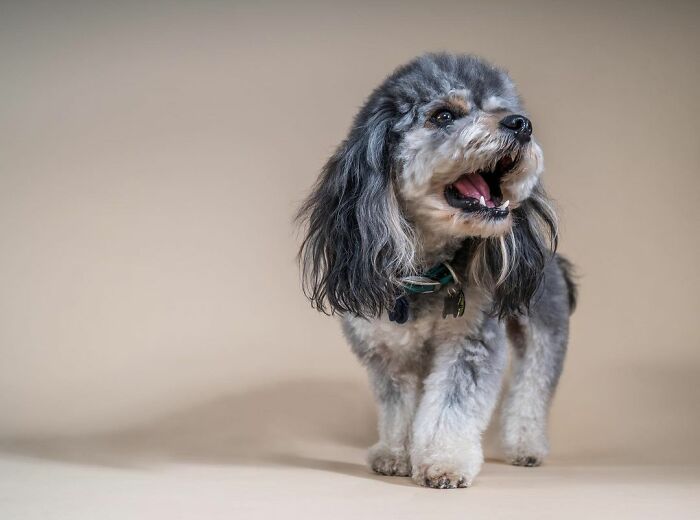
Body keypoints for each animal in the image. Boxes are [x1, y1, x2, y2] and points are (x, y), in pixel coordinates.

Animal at [296, 52, 576, 488]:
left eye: (503, 109)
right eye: (444, 115)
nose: (521, 124)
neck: (425, 272)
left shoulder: (470, 342)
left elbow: (451, 406)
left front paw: (445, 461)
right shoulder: (387, 353)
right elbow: (398, 409)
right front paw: (396, 454)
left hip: (545, 327)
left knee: (533, 387)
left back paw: (526, 446)